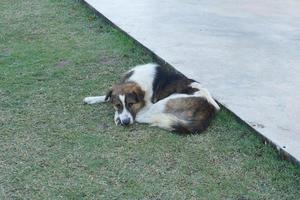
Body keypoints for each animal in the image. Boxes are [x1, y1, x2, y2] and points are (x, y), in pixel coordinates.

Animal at [83, 63, 219, 134]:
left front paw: (117, 117)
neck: (134, 80)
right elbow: (107, 97)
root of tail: (210, 109)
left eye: (131, 104)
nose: (125, 122)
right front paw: (92, 99)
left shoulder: (148, 104)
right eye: (118, 105)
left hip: (164, 102)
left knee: (143, 117)